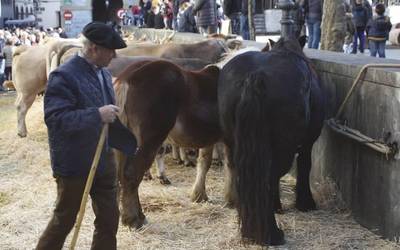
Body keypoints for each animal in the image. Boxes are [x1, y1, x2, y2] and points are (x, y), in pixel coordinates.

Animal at [114, 60, 222, 229]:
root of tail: (128, 78)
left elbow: (204, 163)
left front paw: (200, 196)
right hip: (150, 141)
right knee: (132, 174)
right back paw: (134, 220)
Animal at [219, 37, 324, 246]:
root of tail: (254, 76)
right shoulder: (307, 143)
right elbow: (304, 166)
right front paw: (305, 203)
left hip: (234, 143)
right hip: (284, 147)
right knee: (269, 178)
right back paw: (271, 234)